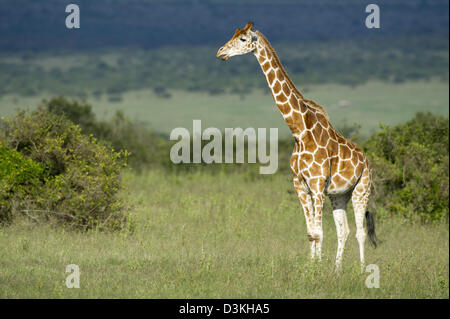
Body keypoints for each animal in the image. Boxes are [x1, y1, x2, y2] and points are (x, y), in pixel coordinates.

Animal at [216, 23, 378, 272]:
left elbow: (319, 232)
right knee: (344, 231)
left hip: (362, 189)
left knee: (360, 231)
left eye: (243, 39)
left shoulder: (317, 184)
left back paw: (361, 272)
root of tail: (367, 161)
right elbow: (311, 233)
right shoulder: (300, 184)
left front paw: (317, 271)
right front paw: (311, 269)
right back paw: (336, 271)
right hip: (340, 194)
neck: (300, 131)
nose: (220, 52)